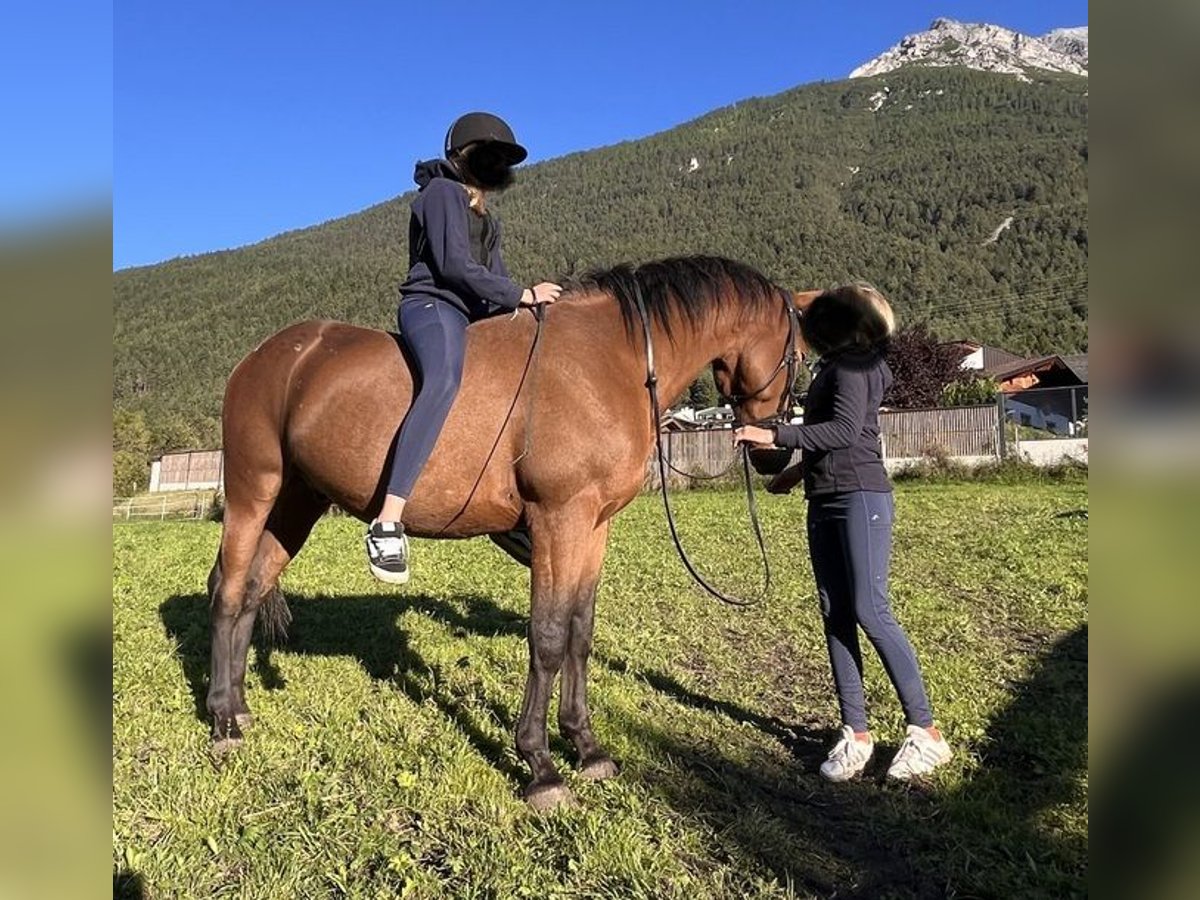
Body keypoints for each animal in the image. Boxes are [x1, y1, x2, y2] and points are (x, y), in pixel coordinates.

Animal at [208, 255, 816, 809]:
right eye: (800, 357)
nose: (773, 452)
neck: (611, 360)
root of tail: (267, 356)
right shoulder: (558, 519)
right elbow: (546, 637)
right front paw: (540, 766)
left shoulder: (592, 526)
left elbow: (579, 632)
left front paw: (586, 747)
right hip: (253, 491)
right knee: (229, 593)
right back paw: (221, 722)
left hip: (296, 503)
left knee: (252, 593)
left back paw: (239, 707)